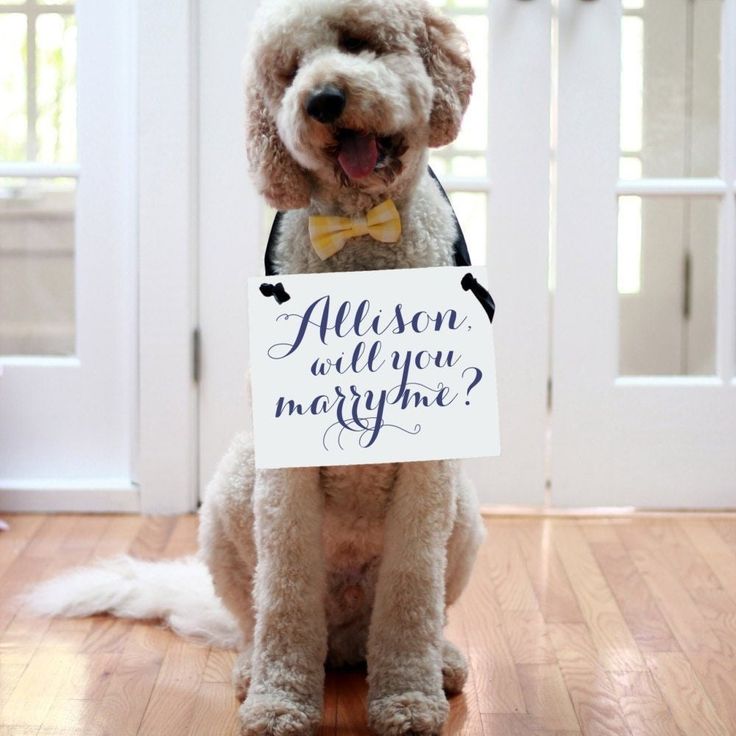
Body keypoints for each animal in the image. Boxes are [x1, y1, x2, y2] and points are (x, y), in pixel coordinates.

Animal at [25, 1, 486, 736]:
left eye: (358, 41)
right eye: (288, 71)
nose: (322, 100)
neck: (360, 233)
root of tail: (347, 641)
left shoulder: (429, 475)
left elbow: (413, 587)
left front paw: (409, 700)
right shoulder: (283, 481)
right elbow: (287, 593)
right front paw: (277, 702)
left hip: (463, 516)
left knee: (421, 608)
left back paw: (437, 661)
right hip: (228, 499)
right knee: (256, 615)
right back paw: (251, 667)